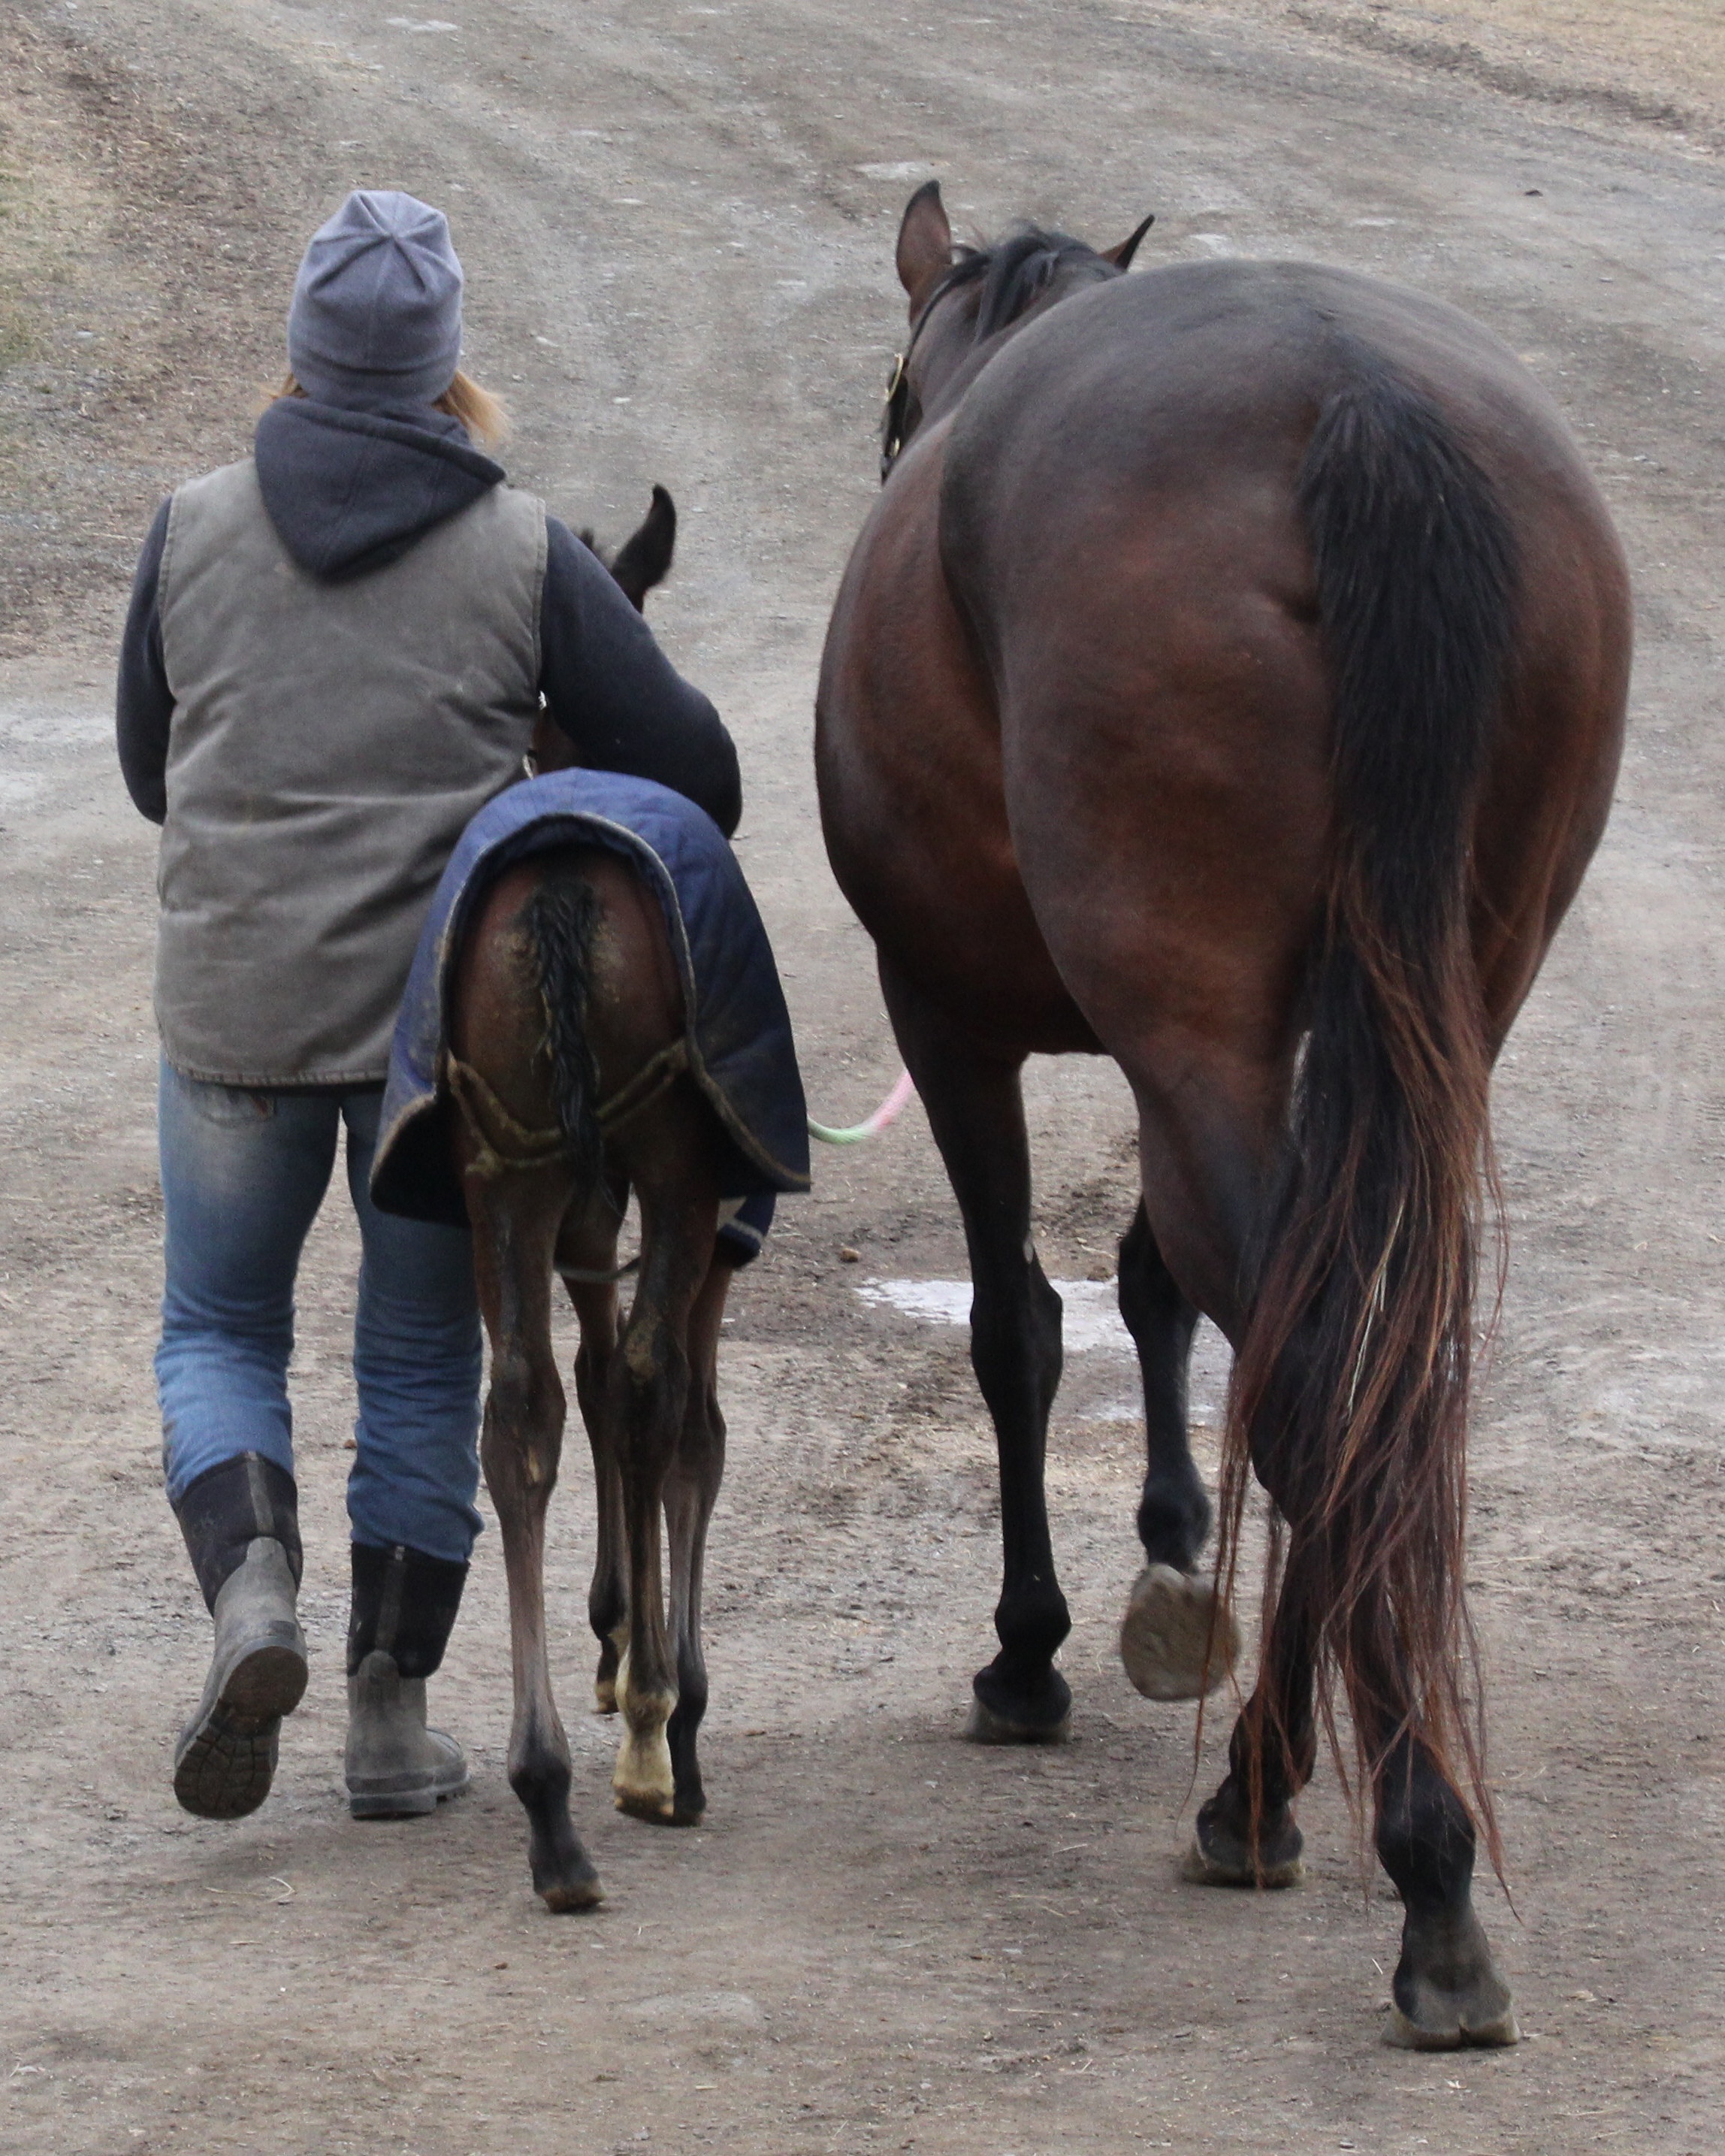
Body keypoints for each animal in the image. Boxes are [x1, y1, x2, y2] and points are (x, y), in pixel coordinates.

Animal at [814, 180, 1621, 2035]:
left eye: (894, 397)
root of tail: (1353, 403)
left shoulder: (949, 1014)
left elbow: (1019, 1325)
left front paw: (1030, 1644)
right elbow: (1159, 1282)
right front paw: (1175, 1544)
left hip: (1182, 1026)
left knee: (1316, 1375)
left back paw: (1378, 1848)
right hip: (1439, 1003)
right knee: (1373, 1366)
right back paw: (1286, 1788)